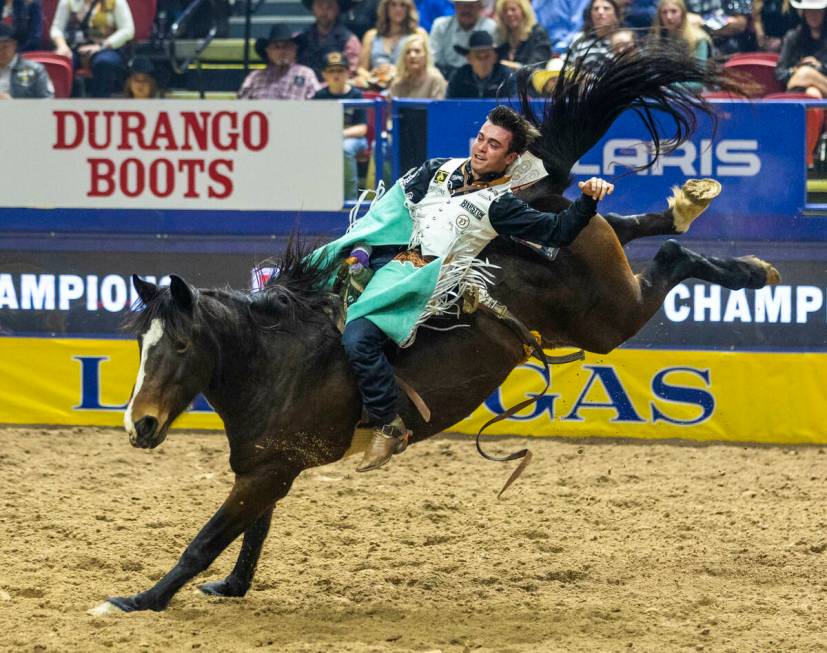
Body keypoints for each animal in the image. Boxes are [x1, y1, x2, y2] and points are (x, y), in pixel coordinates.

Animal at [92, 48, 784, 612]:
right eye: (140, 344)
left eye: (182, 344)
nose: (139, 425)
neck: (275, 361)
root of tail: (534, 199)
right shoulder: (268, 468)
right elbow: (250, 534)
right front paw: (231, 587)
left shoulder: (269, 470)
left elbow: (207, 539)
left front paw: (138, 600)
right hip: (586, 261)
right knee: (627, 228)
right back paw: (687, 211)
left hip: (607, 318)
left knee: (665, 258)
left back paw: (747, 266)